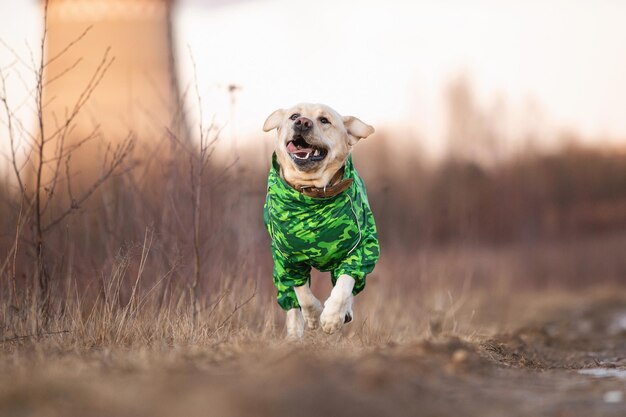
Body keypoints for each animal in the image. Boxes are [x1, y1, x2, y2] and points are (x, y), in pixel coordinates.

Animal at [260, 103, 378, 338]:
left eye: (324, 120)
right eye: (294, 116)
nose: (302, 123)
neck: (312, 195)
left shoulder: (360, 247)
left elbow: (345, 283)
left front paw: (331, 318)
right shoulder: (288, 258)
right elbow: (302, 293)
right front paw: (314, 317)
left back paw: (344, 313)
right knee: (291, 304)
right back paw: (294, 336)